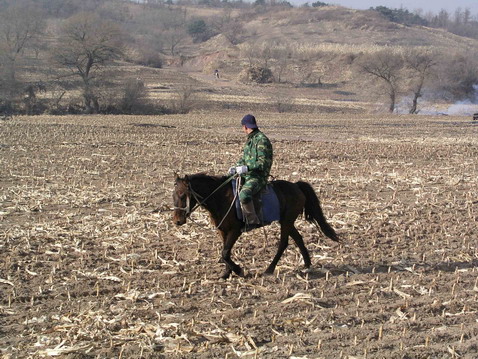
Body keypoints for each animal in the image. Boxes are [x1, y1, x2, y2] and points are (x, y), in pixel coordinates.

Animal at [173, 174, 340, 282]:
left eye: (182, 195)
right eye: (173, 195)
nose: (177, 221)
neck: (221, 198)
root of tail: (296, 186)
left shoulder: (235, 230)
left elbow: (225, 253)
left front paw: (239, 270)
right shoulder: (223, 230)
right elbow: (224, 252)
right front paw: (226, 274)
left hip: (286, 222)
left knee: (283, 243)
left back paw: (269, 270)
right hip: (287, 222)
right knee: (298, 238)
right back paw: (307, 265)